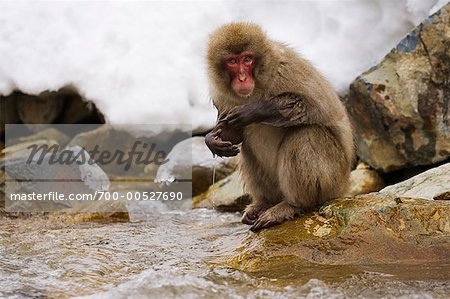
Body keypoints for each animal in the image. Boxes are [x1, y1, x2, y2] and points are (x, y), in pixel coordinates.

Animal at [205, 22, 356, 232]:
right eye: (233, 61)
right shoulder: (222, 97)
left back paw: (292, 205)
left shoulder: (286, 70)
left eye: (248, 59)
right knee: (247, 149)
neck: (256, 89)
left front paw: (253, 110)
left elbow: (316, 108)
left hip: (333, 180)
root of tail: (344, 185)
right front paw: (212, 139)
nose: (242, 78)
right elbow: (233, 135)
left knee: (305, 132)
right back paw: (264, 204)